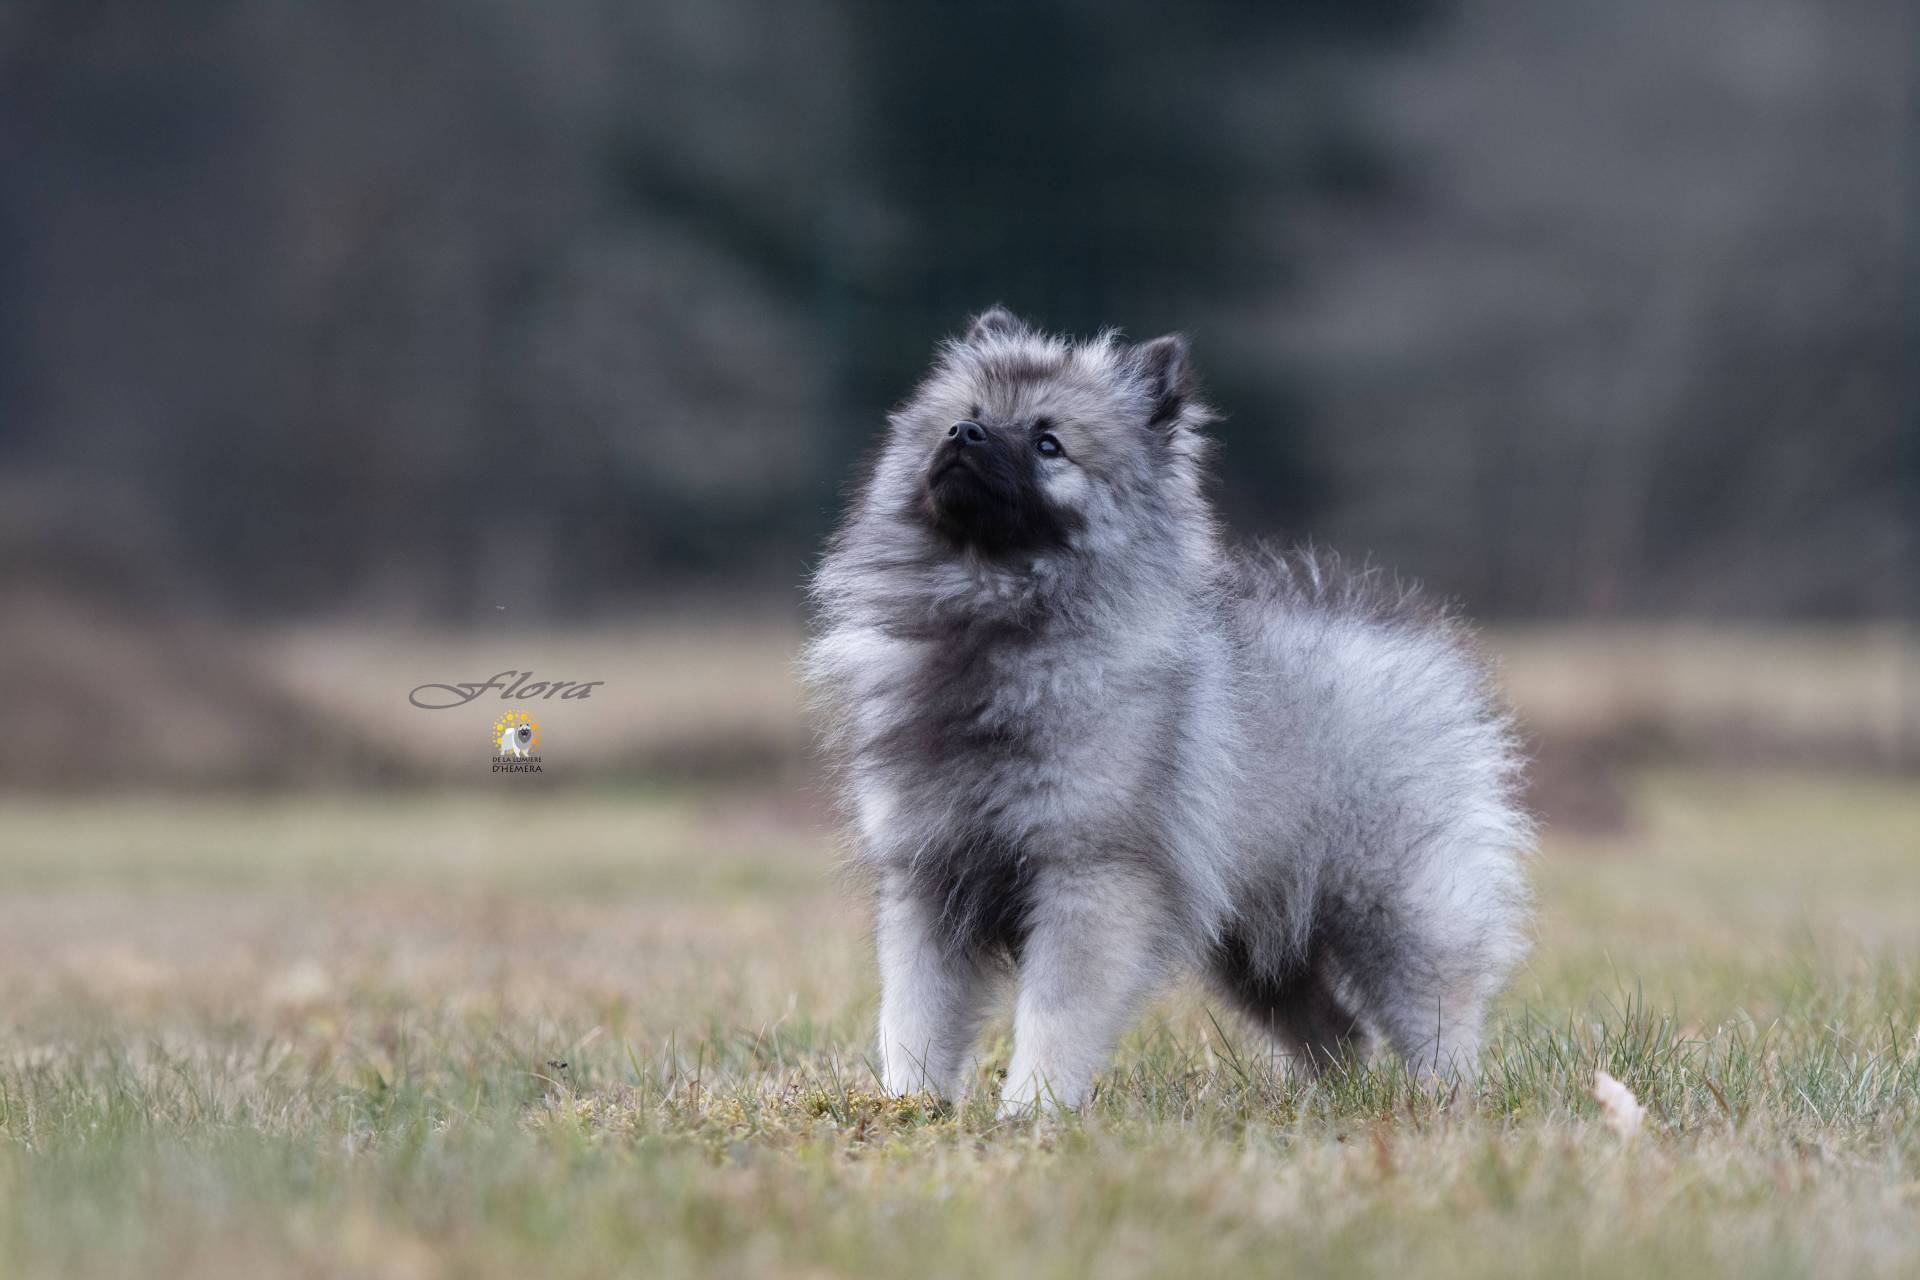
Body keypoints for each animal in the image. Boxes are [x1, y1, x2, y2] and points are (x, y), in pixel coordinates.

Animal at [807, 308, 1530, 1114]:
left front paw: (1032, 1111)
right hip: (1252, 943)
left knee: (1437, 1012)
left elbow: (1052, 1015)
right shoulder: (927, 879)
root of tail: (1416, 650)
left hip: (1393, 908)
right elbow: (913, 1014)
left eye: (1048, 442)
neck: (994, 619)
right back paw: (1328, 1105)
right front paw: (908, 1107)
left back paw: (1445, 1104)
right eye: (968, 415)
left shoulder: (1090, 879)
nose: (964, 436)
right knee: (1338, 1033)